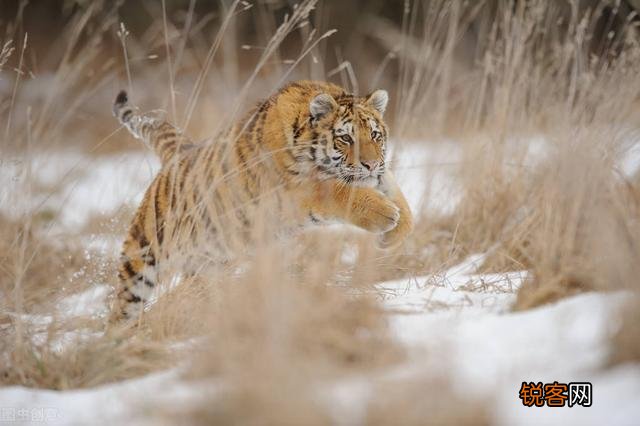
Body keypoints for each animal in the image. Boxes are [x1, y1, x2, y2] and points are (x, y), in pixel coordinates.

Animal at [111, 80, 413, 321]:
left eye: (375, 134)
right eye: (346, 138)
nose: (370, 164)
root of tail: (179, 153)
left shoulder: (378, 177)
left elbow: (399, 197)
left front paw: (394, 232)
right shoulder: (299, 191)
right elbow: (338, 190)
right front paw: (386, 215)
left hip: (208, 264)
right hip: (143, 253)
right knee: (124, 305)